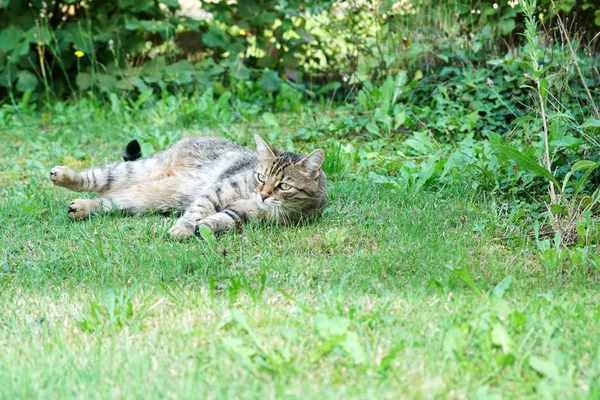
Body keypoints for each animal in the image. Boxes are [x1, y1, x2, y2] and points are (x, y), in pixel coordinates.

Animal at [48, 136, 326, 239]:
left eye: (284, 185)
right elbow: (199, 209)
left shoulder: (245, 213)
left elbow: (221, 218)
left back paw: (82, 207)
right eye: (260, 176)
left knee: (109, 199)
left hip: (146, 199)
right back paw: (63, 175)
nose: (264, 194)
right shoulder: (219, 190)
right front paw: (184, 228)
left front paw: (204, 227)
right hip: (140, 170)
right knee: (100, 178)